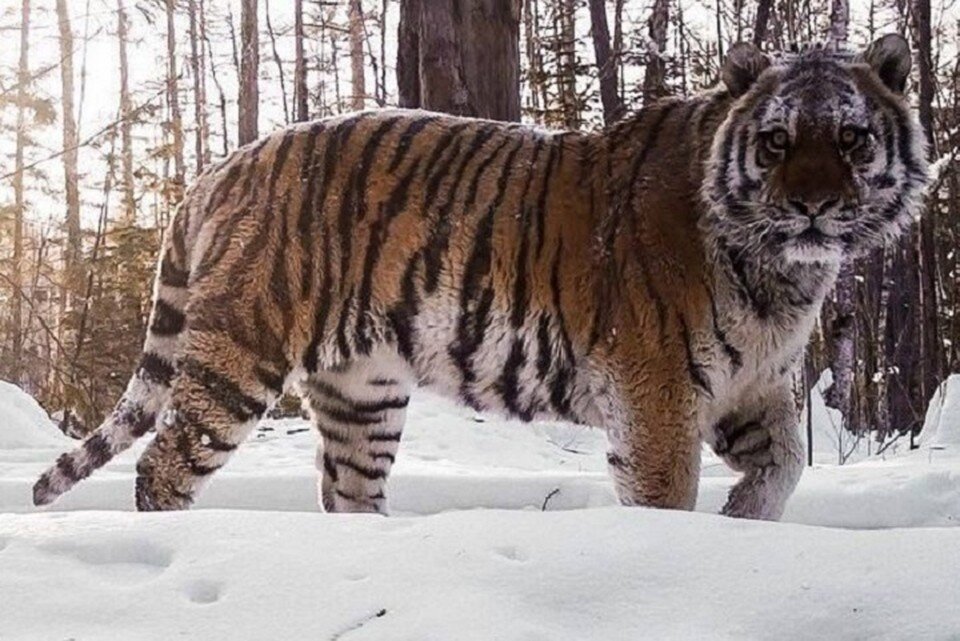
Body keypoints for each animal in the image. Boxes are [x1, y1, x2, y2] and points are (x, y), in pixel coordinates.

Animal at [35, 35, 928, 520]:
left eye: (850, 137)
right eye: (777, 142)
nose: (814, 205)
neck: (782, 271)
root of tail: (218, 169)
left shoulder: (752, 382)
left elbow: (786, 463)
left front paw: (745, 516)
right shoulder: (657, 389)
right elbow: (667, 491)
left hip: (362, 393)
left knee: (346, 491)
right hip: (238, 354)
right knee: (163, 465)